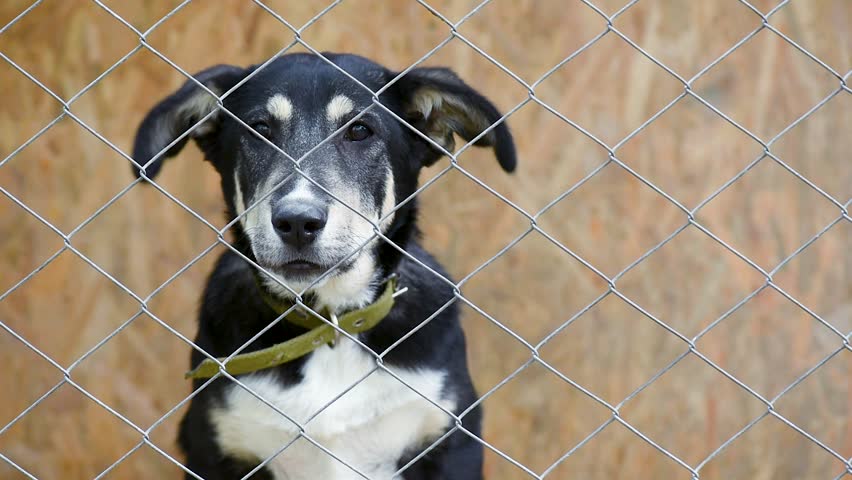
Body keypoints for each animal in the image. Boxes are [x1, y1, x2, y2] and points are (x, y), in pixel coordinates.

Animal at [132, 52, 516, 480]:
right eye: (259, 129)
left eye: (360, 131)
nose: (298, 222)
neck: (330, 321)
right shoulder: (216, 446)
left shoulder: (446, 438)